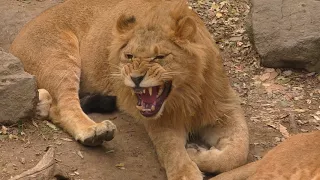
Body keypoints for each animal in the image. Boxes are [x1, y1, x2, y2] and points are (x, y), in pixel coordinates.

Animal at [10, 0, 249, 179]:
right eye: (129, 56)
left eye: (159, 57)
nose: (135, 79)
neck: (186, 94)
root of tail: (14, 43)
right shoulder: (161, 121)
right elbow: (172, 149)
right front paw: (188, 164)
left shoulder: (225, 105)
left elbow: (238, 151)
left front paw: (197, 154)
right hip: (59, 57)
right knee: (64, 106)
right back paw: (95, 131)